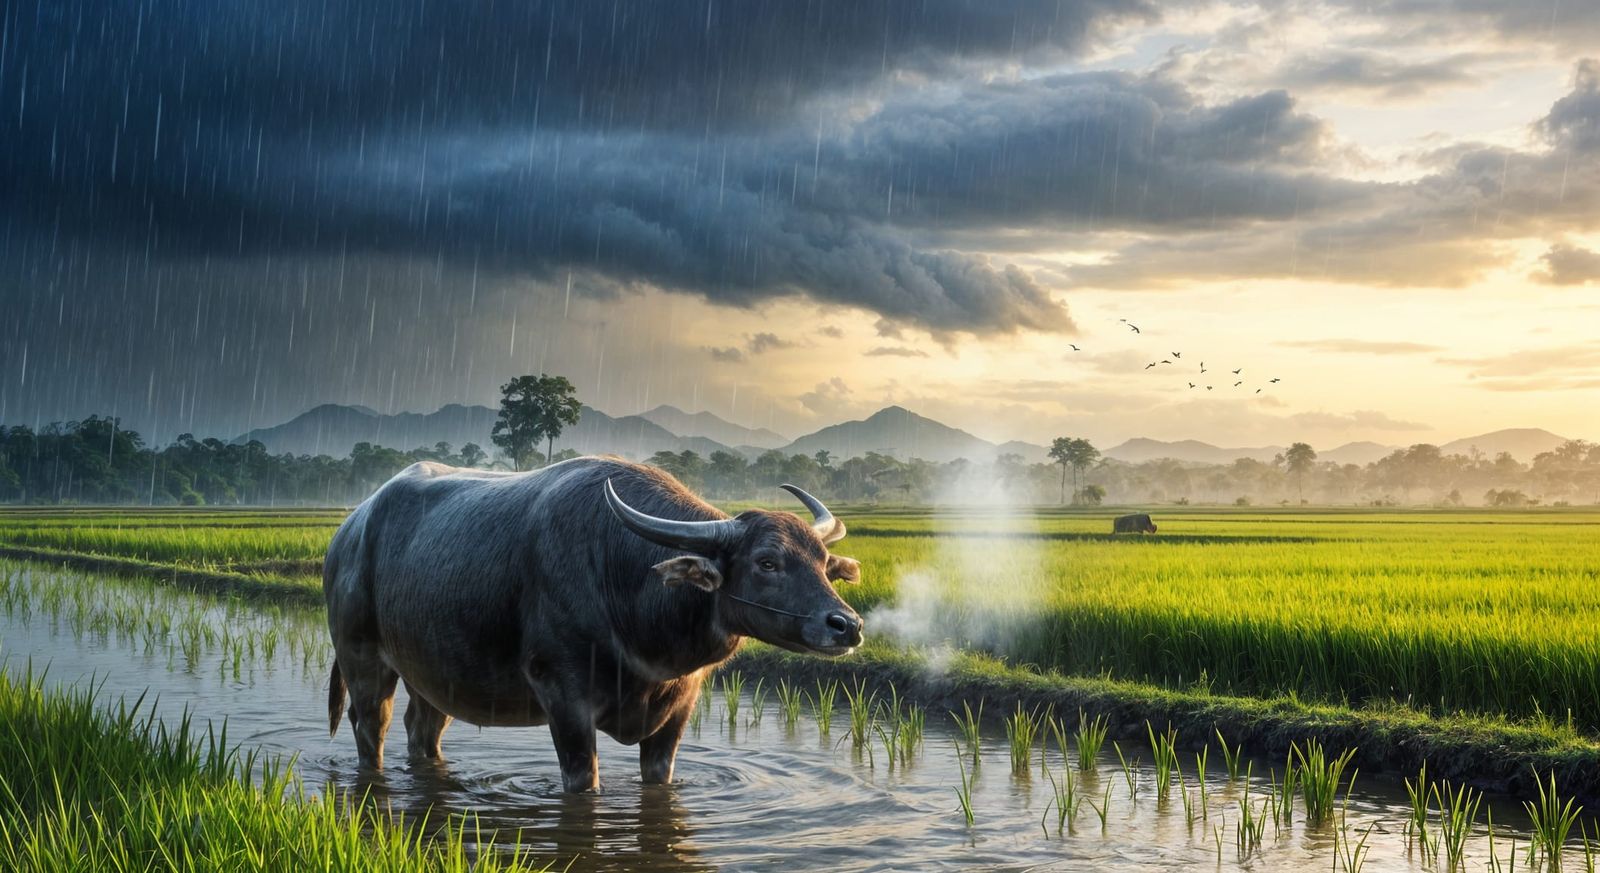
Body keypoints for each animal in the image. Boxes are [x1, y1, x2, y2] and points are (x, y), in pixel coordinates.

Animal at [323, 457, 864, 792]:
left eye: (823, 562)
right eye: (767, 562)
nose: (848, 626)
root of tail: (349, 532)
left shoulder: (679, 709)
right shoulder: (563, 697)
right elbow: (584, 781)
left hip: (435, 673)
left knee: (423, 731)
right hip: (362, 658)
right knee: (370, 727)